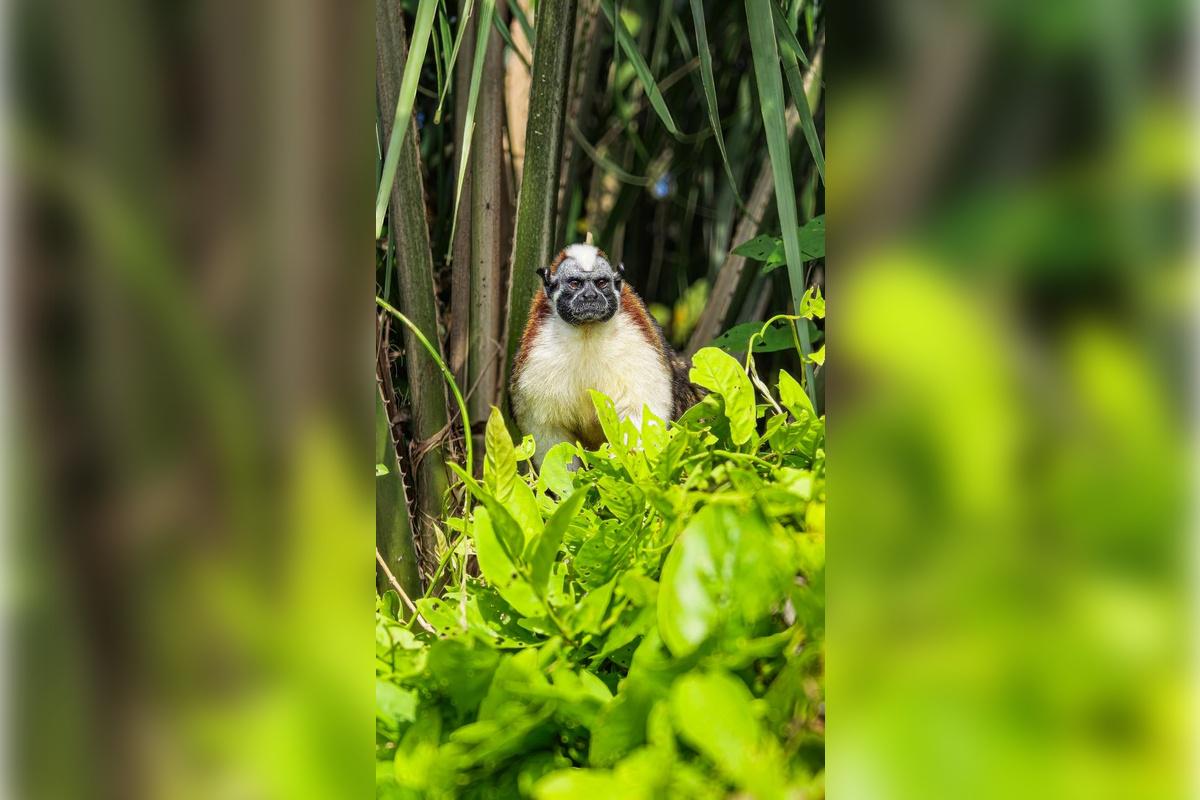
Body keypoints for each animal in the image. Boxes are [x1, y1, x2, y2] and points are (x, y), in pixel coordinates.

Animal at [511, 243, 704, 465]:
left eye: (601, 283)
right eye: (575, 283)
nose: (590, 297)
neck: (587, 332)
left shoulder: (639, 342)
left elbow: (638, 414)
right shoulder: (537, 352)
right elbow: (550, 435)